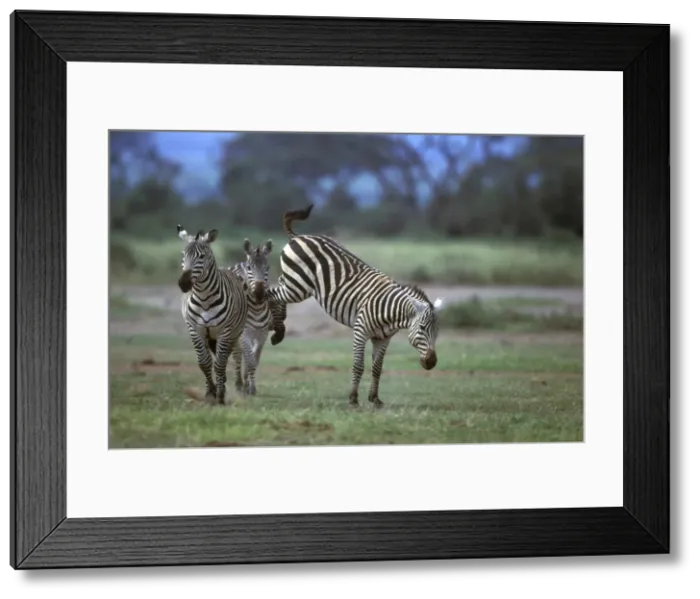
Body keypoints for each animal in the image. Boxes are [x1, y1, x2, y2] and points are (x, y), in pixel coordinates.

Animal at [176, 224, 256, 405]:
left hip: (234, 333)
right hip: (209, 336)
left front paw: (219, 394)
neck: (204, 297)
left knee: (228, 357)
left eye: (201, 256)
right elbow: (204, 362)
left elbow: (220, 363)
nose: (183, 284)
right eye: (183, 255)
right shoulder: (195, 329)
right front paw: (210, 393)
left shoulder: (225, 331)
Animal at [227, 238, 284, 395]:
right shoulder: (244, 333)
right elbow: (249, 359)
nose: (258, 293)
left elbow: (254, 359)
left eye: (267, 267)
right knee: (237, 355)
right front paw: (249, 387)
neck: (257, 308)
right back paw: (238, 384)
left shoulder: (262, 334)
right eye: (249, 268)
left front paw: (249, 384)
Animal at [265, 204, 445, 410]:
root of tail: (298, 237)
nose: (431, 362)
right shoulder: (360, 331)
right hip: (298, 287)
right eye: (422, 328)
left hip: (294, 283)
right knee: (272, 293)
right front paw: (353, 399)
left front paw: (375, 399)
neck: (391, 312)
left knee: (279, 287)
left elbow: (377, 368)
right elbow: (358, 366)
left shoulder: (382, 339)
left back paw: (280, 326)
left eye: (437, 331)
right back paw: (277, 329)